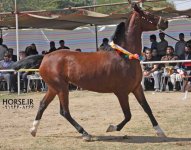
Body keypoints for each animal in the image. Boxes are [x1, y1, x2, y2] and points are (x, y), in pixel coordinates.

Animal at [13, 3, 168, 141]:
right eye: (147, 14)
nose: (165, 22)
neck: (124, 56)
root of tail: (45, 57)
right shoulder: (122, 92)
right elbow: (128, 115)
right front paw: (111, 127)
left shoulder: (137, 88)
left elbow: (147, 108)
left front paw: (160, 131)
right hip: (61, 87)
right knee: (64, 111)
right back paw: (85, 133)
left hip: (53, 88)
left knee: (43, 105)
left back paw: (33, 130)